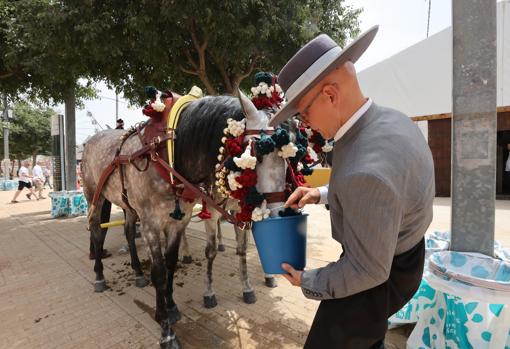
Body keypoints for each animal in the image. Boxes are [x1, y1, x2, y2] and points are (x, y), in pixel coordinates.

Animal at [82, 93, 290, 348]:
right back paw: (99, 275)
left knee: (129, 233)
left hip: (128, 205)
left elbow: (171, 264)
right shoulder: (151, 224)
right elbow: (159, 273)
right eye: (257, 153)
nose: (278, 211)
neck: (168, 154)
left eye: (288, 156)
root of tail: (91, 140)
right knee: (96, 232)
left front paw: (170, 307)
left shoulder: (178, 221)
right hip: (94, 195)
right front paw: (166, 331)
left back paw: (138, 273)